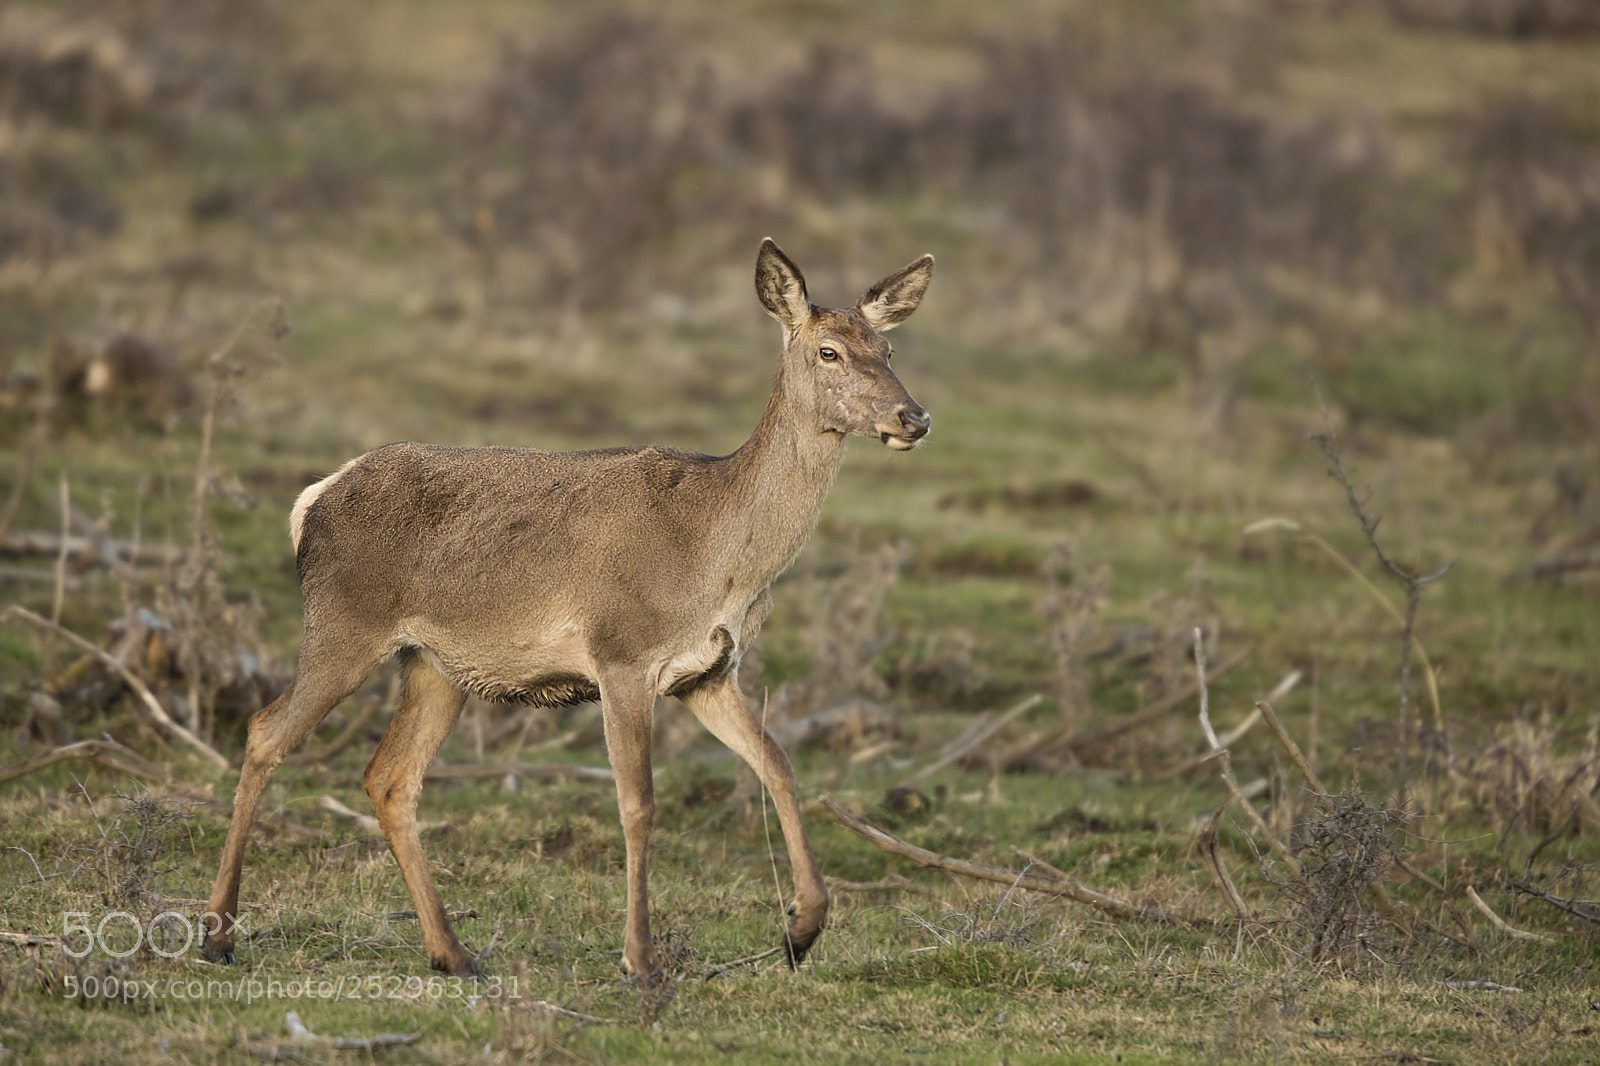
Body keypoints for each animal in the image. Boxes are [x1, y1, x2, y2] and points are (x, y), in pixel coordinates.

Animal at [199, 238, 934, 982]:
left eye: (888, 349)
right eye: (829, 352)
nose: (914, 418)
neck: (718, 553)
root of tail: (310, 501)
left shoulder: (708, 673)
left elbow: (778, 765)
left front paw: (802, 929)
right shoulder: (622, 652)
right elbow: (638, 803)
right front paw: (640, 957)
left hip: (434, 665)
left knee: (390, 777)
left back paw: (452, 951)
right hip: (343, 624)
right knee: (265, 732)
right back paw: (219, 935)